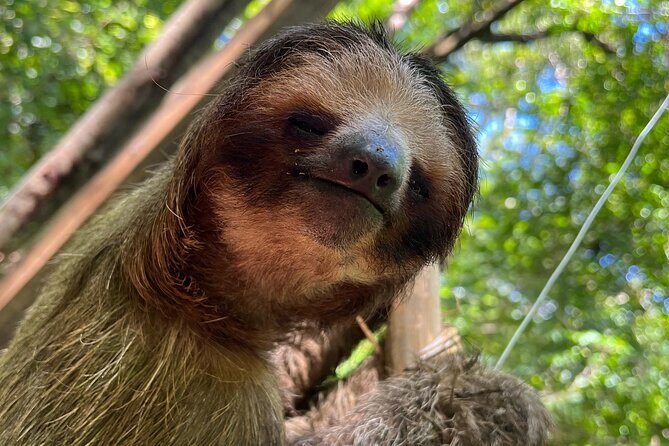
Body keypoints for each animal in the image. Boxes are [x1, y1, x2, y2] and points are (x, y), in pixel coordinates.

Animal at [0, 22, 549, 445]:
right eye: (308, 123)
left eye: (418, 183)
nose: (372, 166)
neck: (194, 294)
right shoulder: (203, 386)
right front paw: (470, 393)